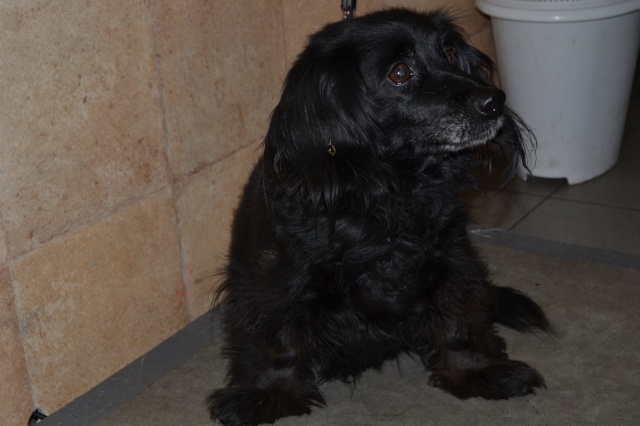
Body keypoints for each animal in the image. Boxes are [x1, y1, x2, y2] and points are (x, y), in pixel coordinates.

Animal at [207, 9, 551, 425]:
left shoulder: (453, 260)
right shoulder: (273, 281)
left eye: (450, 54)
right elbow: (277, 340)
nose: (494, 101)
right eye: (400, 73)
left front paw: (477, 371)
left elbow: (458, 322)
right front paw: (267, 393)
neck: (387, 194)